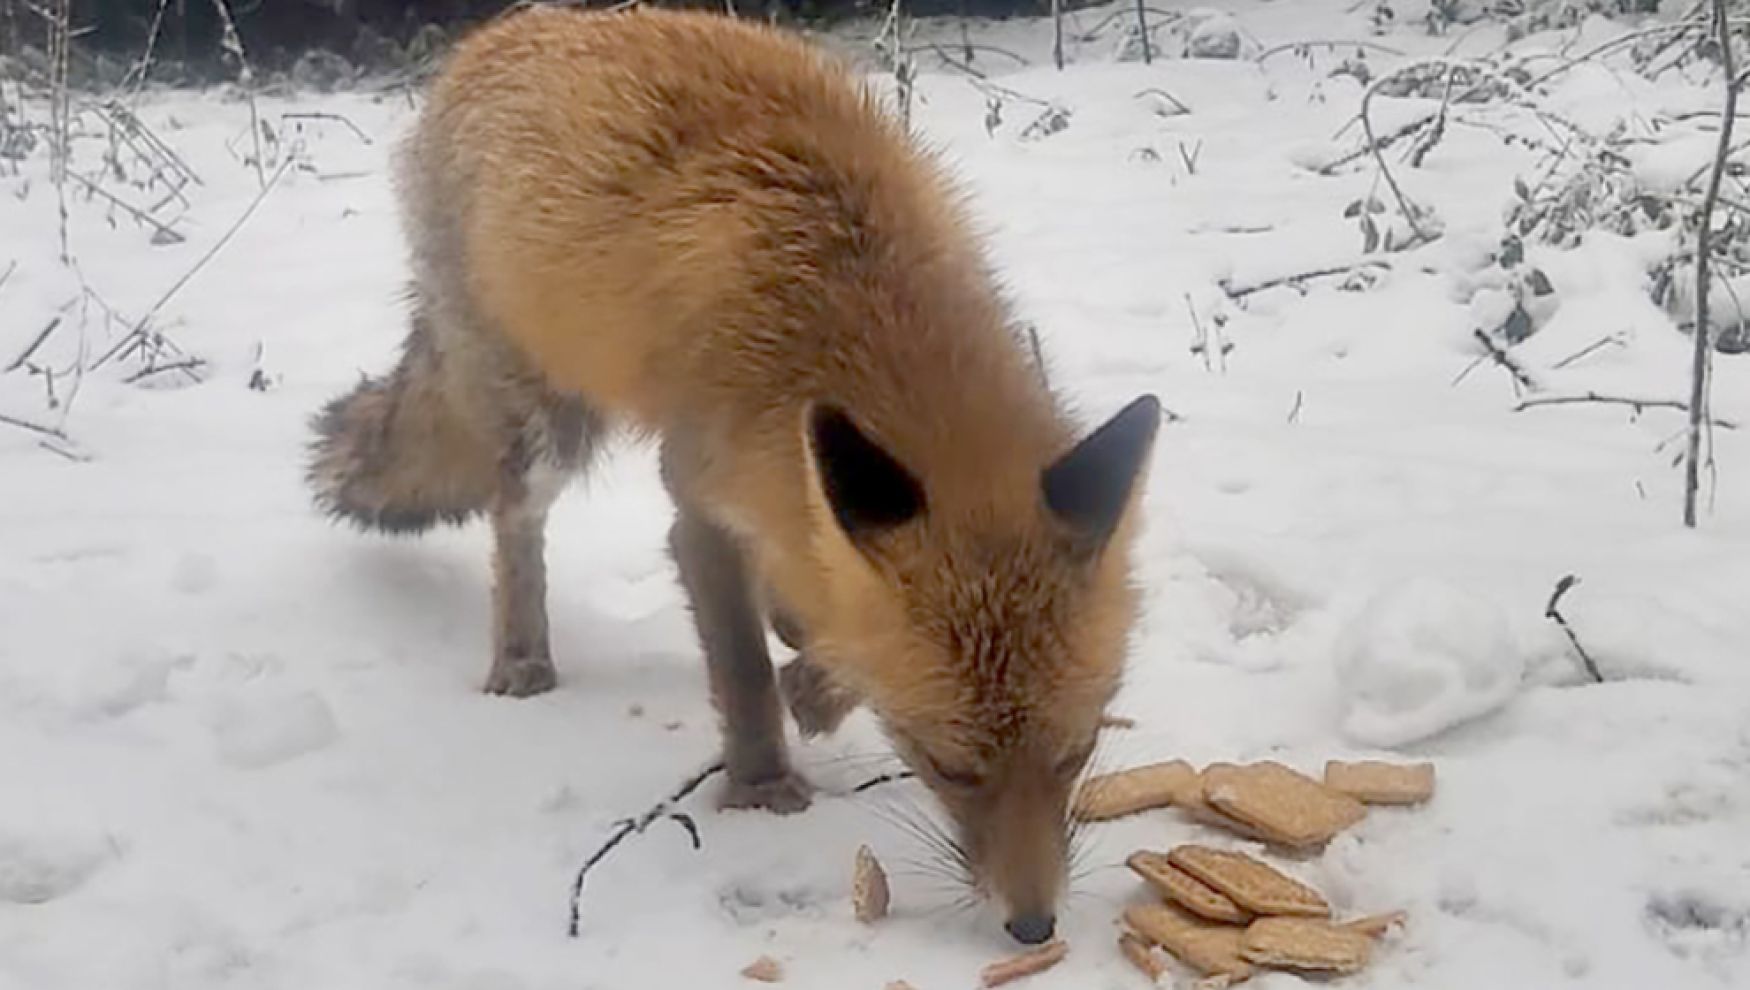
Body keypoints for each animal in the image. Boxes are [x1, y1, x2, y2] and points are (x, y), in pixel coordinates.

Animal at [311, 3, 1162, 944]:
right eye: (948, 767)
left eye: (1077, 751)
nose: (1033, 926)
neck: (843, 308)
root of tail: (500, 31)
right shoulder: (701, 500)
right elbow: (745, 668)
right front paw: (762, 784)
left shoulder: (807, 495)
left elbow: (825, 623)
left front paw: (814, 682)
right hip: (549, 427)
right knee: (513, 522)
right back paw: (523, 658)